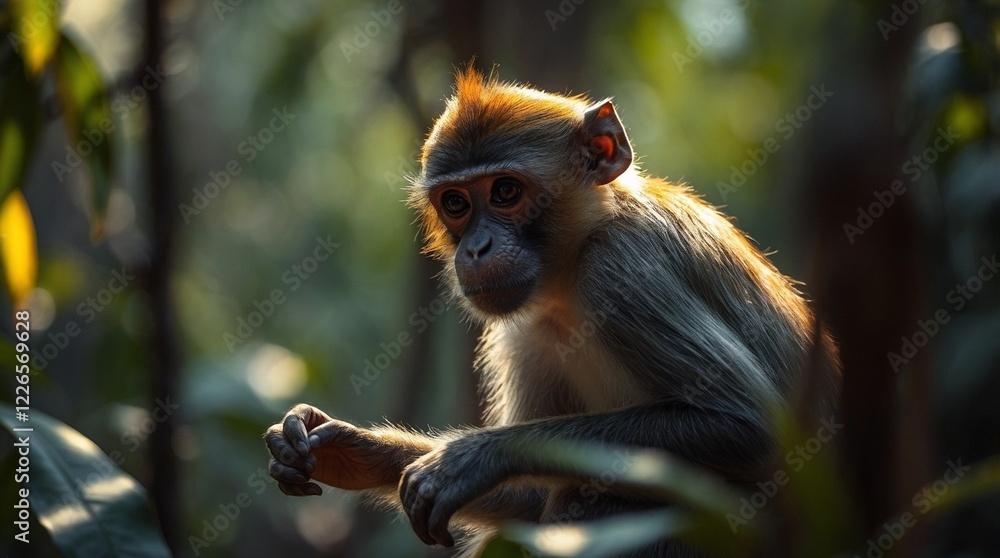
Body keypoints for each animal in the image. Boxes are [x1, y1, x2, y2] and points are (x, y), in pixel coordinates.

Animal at [265, 67, 839, 557]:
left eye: (505, 191)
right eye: (456, 204)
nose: (475, 249)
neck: (570, 275)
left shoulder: (623, 269)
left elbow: (752, 427)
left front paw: (471, 458)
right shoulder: (525, 331)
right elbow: (529, 500)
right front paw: (345, 451)